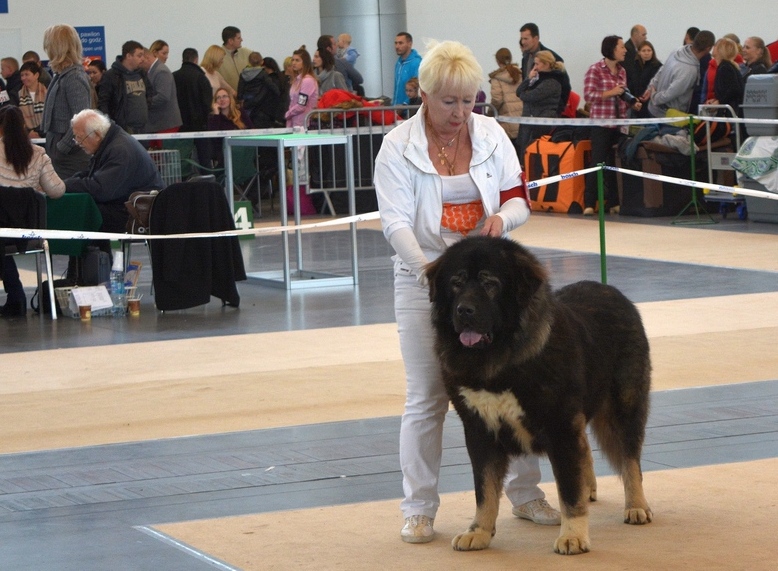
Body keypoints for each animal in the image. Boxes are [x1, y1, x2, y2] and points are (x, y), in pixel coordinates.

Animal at [428, 236, 652, 556]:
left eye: (490, 283)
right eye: (456, 283)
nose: (464, 310)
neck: (500, 359)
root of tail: (612, 290)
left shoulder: (561, 426)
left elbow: (568, 490)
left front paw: (573, 536)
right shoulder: (479, 429)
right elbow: (484, 489)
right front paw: (478, 532)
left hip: (625, 404)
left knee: (630, 457)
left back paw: (636, 506)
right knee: (589, 451)